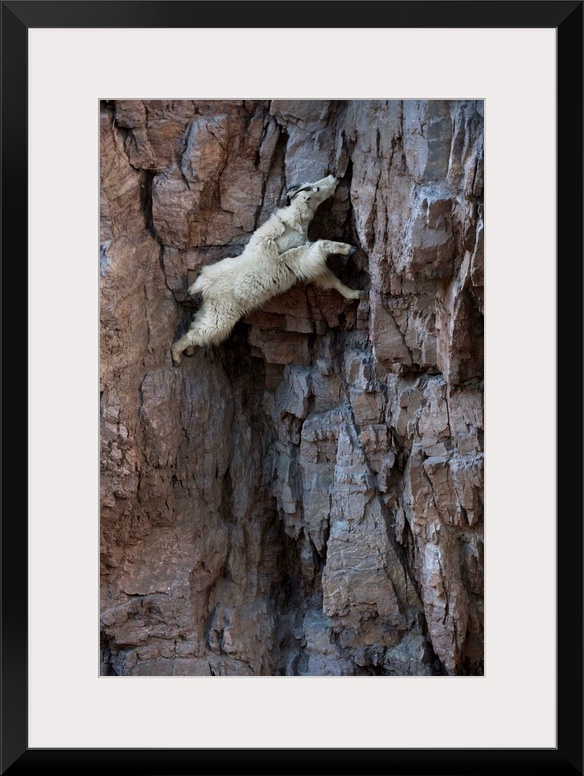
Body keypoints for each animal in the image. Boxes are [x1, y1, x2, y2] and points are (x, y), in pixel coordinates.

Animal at [170, 174, 360, 366]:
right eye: (317, 189)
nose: (334, 177)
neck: (293, 225)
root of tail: (204, 286)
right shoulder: (300, 257)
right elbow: (323, 245)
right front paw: (348, 248)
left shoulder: (307, 263)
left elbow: (331, 279)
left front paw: (355, 293)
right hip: (221, 316)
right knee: (200, 332)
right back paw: (176, 355)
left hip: (211, 310)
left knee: (196, 325)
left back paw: (189, 350)